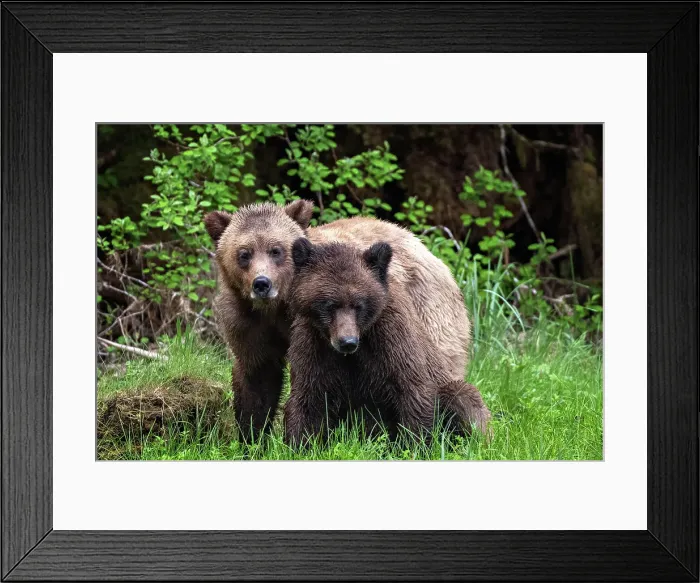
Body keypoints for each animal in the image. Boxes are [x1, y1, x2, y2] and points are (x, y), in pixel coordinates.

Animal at [283, 238, 491, 446]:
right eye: (329, 305)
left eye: (359, 305)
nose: (347, 342)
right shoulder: (313, 344)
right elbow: (308, 398)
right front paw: (300, 443)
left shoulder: (391, 338)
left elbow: (413, 389)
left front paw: (417, 444)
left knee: (461, 397)